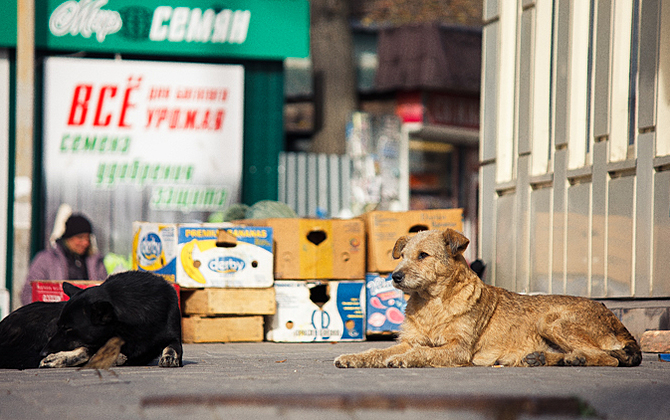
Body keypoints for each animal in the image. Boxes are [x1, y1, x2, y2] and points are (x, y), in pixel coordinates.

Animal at [0, 270, 184, 370]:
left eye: (68, 328)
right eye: (60, 326)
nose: (43, 352)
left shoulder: (171, 336)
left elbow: (173, 347)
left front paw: (169, 356)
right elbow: (85, 351)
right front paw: (58, 358)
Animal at [338, 228, 644, 370]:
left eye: (423, 255)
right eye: (401, 255)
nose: (395, 277)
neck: (433, 303)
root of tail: (615, 320)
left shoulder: (458, 348)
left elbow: (422, 353)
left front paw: (403, 360)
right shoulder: (411, 340)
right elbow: (377, 351)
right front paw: (353, 357)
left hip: (552, 320)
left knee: (608, 358)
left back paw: (574, 358)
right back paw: (545, 358)